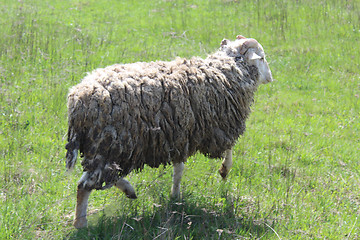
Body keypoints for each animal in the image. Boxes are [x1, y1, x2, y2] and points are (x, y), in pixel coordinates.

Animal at [65, 34, 272, 228]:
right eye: (261, 58)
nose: (271, 78)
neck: (226, 71)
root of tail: (78, 99)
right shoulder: (219, 127)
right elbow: (229, 150)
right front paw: (224, 170)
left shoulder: (180, 135)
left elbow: (178, 169)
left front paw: (175, 196)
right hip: (111, 143)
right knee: (87, 184)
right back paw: (82, 222)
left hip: (104, 146)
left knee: (97, 177)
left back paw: (127, 192)